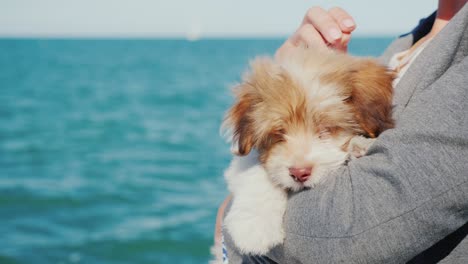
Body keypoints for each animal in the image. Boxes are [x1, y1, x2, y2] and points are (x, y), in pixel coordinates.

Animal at [218, 47, 392, 256]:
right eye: (279, 133)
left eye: (325, 129)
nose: (299, 173)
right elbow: (255, 171)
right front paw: (255, 226)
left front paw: (359, 145)